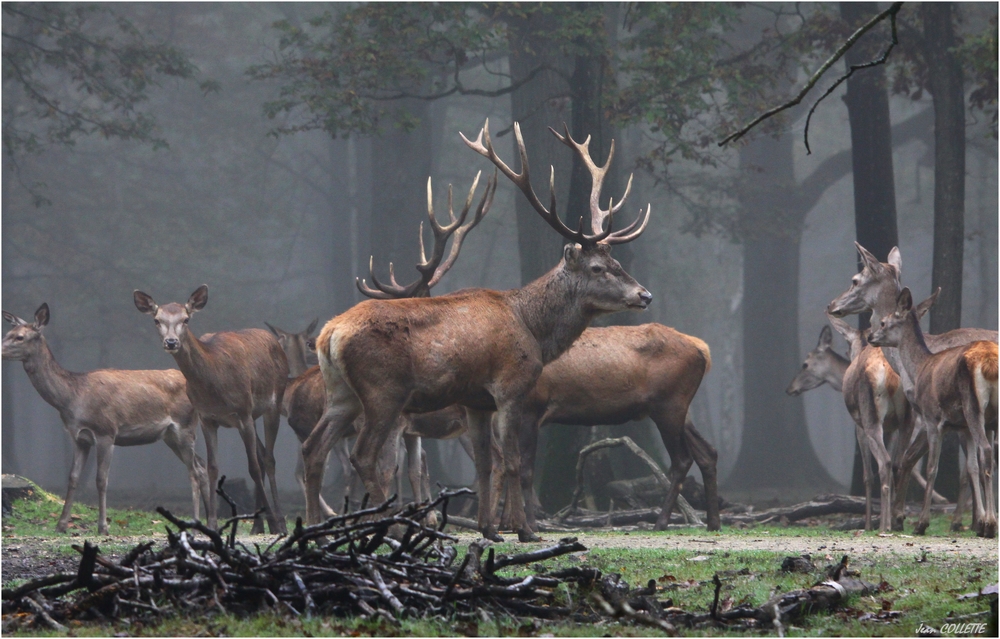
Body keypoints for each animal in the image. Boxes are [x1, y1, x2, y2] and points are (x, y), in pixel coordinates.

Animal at [2, 304, 211, 536]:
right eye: (7, 333)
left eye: (19, 337)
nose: (0, 350)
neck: (72, 397)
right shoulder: (79, 438)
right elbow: (73, 477)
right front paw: (61, 525)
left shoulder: (106, 431)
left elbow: (101, 479)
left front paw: (103, 527)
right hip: (170, 436)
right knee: (201, 466)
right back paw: (210, 523)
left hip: (185, 426)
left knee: (194, 471)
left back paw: (195, 524)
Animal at [135, 284, 290, 536]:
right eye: (157, 320)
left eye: (186, 319)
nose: (171, 342)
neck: (215, 384)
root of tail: (277, 342)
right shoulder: (208, 418)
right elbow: (212, 468)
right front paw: (213, 524)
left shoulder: (242, 412)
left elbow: (253, 468)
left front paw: (275, 524)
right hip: (252, 415)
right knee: (261, 453)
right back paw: (257, 525)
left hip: (272, 403)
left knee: (267, 459)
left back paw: (279, 522)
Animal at [308, 120, 652, 540]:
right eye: (598, 268)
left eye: (617, 262)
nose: (645, 294)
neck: (533, 328)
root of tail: (329, 335)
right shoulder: (511, 386)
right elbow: (515, 462)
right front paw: (525, 530)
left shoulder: (475, 401)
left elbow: (486, 465)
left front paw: (490, 529)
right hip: (383, 392)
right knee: (363, 456)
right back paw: (386, 527)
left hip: (341, 394)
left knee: (314, 448)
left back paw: (314, 525)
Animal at [872, 290, 996, 540]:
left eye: (884, 322)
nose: (871, 336)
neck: (921, 366)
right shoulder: (964, 427)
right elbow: (972, 467)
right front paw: (977, 521)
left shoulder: (933, 419)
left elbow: (931, 468)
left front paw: (921, 523)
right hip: (989, 416)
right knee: (989, 458)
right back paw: (989, 523)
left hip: (973, 407)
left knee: (987, 451)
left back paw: (989, 526)